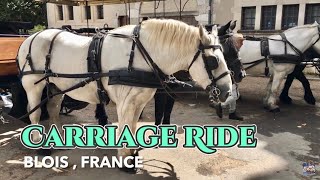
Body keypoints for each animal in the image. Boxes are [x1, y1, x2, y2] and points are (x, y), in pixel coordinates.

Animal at [17, 19, 231, 165]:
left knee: (53, 108)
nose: (227, 91)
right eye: (213, 61)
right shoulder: (126, 101)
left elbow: (133, 124)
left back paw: (60, 139)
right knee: (35, 112)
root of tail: (29, 38)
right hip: (33, 85)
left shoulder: (139, 100)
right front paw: (124, 159)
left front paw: (131, 152)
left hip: (56, 85)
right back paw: (39, 145)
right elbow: (125, 124)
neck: (140, 55)